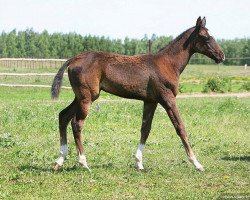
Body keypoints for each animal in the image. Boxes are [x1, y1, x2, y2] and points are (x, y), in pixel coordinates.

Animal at [51, 16, 225, 171]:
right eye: (205, 36)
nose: (221, 55)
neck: (167, 64)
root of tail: (74, 59)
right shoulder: (168, 99)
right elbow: (180, 127)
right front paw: (197, 164)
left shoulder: (150, 101)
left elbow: (145, 129)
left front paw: (139, 163)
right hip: (87, 97)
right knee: (76, 123)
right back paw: (83, 163)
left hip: (80, 97)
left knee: (63, 116)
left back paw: (59, 161)